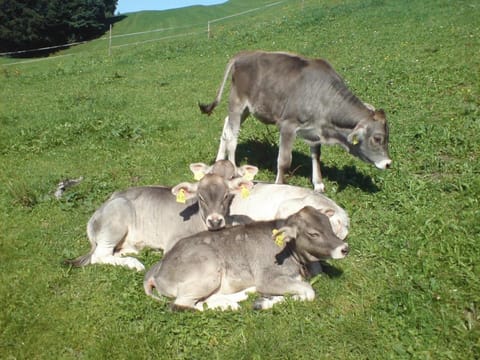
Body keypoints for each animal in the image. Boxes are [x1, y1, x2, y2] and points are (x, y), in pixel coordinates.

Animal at [142, 207, 348, 310]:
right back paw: (228, 306)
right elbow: (309, 291)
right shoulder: (267, 278)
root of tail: (158, 267)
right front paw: (265, 302)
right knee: (183, 305)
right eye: (313, 233)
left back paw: (241, 295)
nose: (344, 248)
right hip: (208, 268)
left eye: (329, 225)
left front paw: (265, 300)